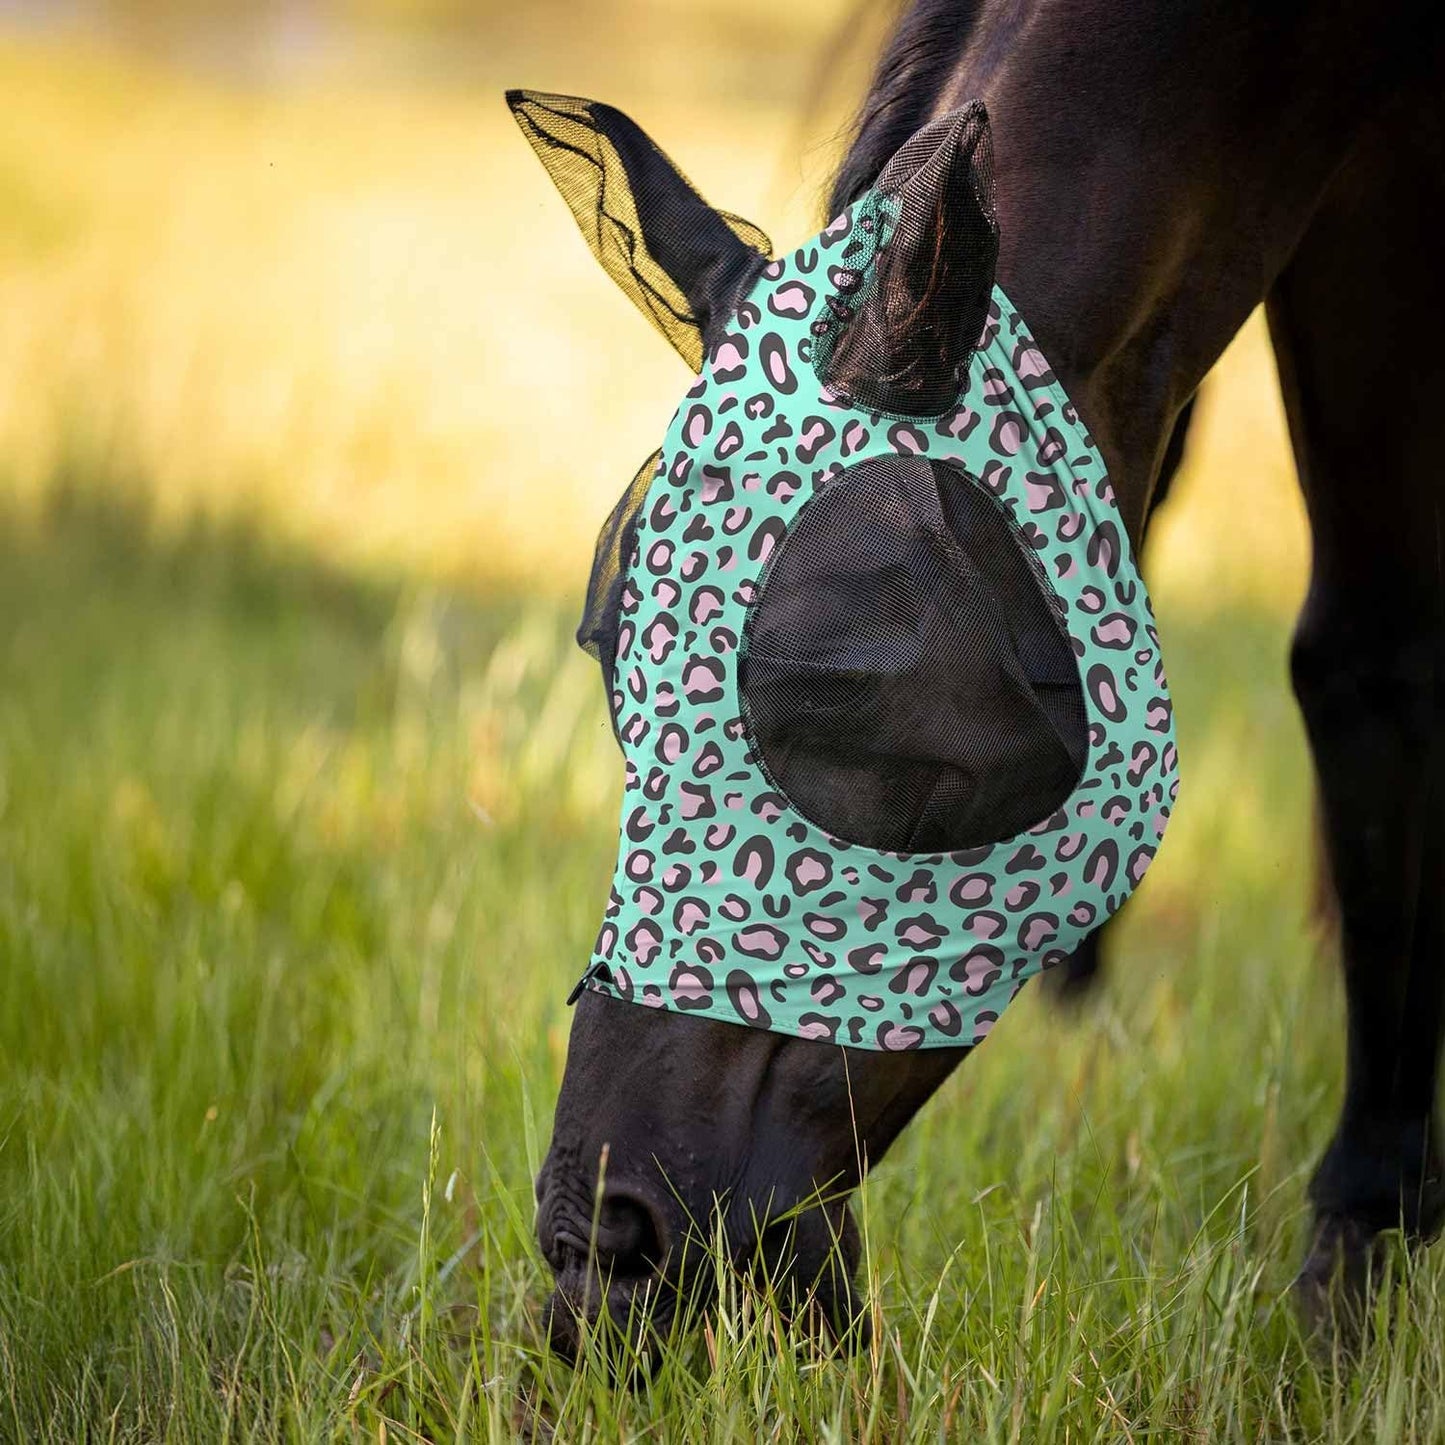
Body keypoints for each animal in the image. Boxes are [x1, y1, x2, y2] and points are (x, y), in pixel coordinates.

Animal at [529, 0, 1445, 1357]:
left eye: (839, 694)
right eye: (610, 665)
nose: (595, 1245)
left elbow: (1370, 659)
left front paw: (1361, 1247)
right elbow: (1361, 660)